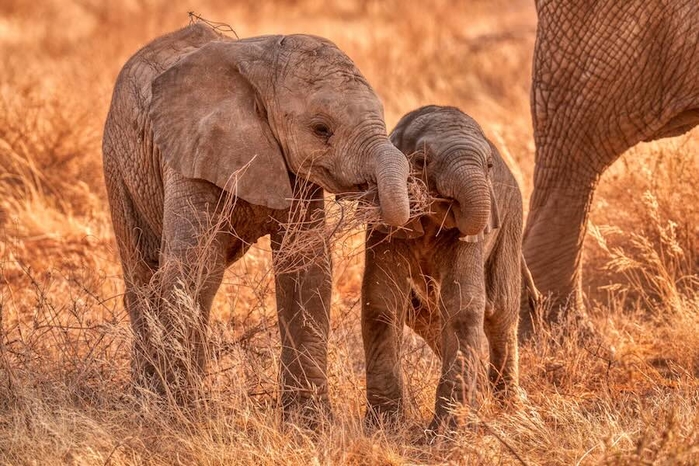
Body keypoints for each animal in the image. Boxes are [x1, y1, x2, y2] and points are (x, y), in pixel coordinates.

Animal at [101, 23, 411, 417]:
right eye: (321, 129)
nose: (370, 198)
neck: (261, 71)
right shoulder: (190, 153)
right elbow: (196, 267)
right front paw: (183, 413)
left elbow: (306, 269)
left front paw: (308, 421)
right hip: (118, 162)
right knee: (143, 273)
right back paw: (144, 399)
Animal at [361, 105, 526, 431]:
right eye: (422, 161)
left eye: (489, 165)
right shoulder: (382, 222)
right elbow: (382, 300)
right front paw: (384, 427)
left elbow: (464, 304)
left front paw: (451, 430)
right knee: (422, 313)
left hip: (512, 217)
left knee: (500, 312)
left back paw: (509, 407)